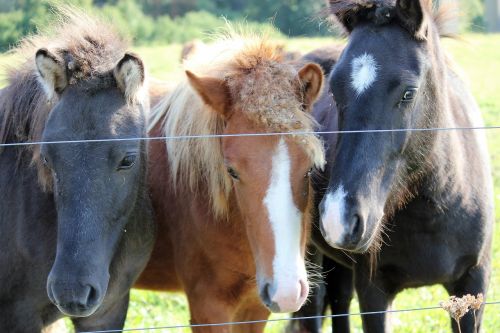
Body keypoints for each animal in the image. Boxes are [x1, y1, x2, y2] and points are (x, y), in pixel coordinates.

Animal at [292, 0, 492, 332]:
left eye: (408, 92)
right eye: (334, 91)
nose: (338, 218)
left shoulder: (474, 285)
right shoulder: (374, 291)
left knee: (339, 300)